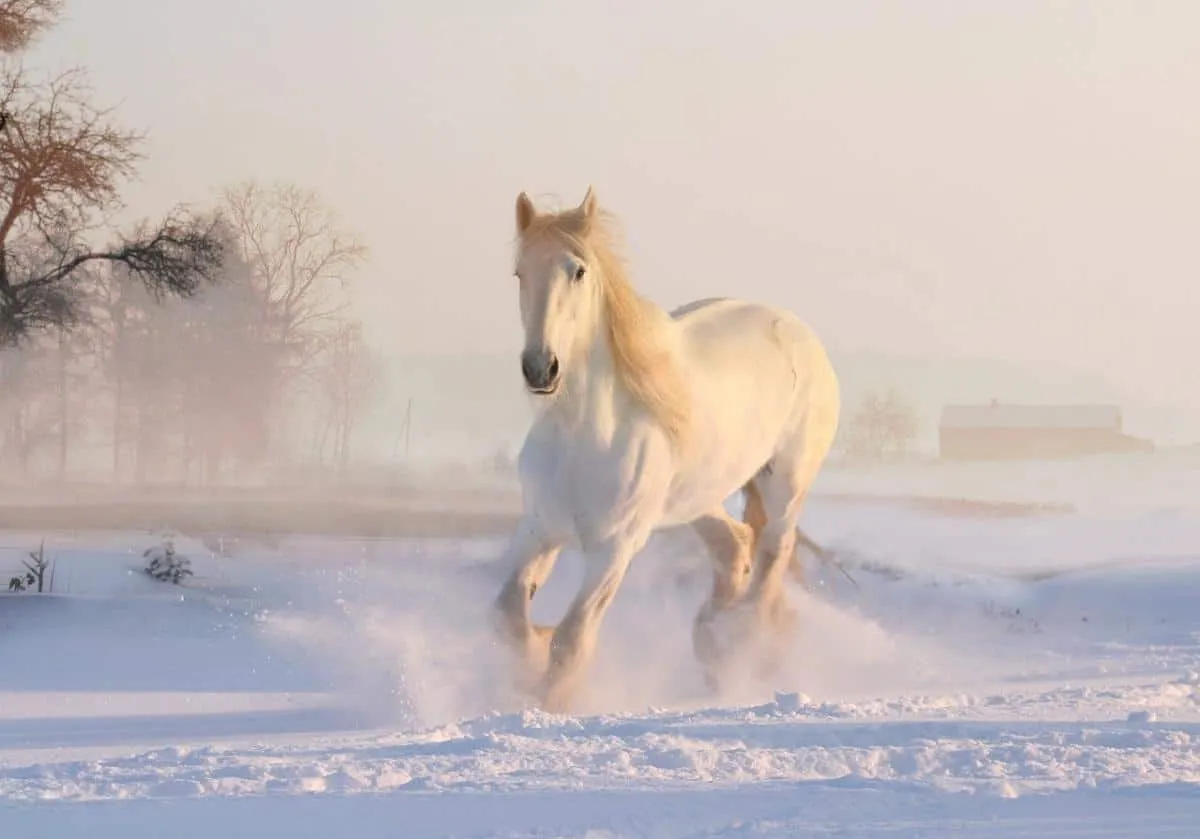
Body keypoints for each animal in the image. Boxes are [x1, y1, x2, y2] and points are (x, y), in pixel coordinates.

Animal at [492, 187, 840, 710]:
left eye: (578, 270)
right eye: (519, 273)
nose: (540, 368)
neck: (583, 436)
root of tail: (798, 330)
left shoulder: (614, 549)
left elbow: (571, 641)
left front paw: (549, 702)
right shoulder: (539, 528)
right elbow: (509, 616)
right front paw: (532, 655)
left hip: (785, 484)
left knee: (771, 557)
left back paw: (737, 644)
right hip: (698, 497)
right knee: (734, 545)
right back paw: (711, 640)